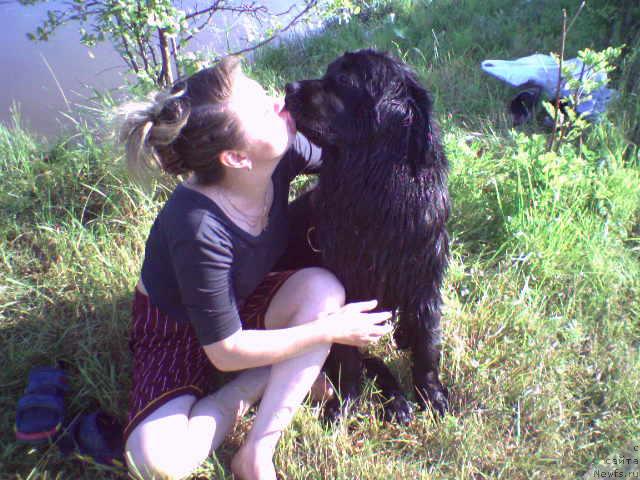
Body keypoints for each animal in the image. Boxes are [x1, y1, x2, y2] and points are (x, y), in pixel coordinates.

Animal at [280, 49, 450, 424]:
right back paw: (395, 401)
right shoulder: (349, 285)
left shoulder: (424, 279)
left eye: (343, 81)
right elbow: (347, 354)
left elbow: (428, 342)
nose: (289, 87)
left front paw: (431, 393)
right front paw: (347, 403)